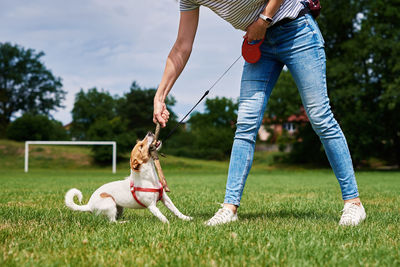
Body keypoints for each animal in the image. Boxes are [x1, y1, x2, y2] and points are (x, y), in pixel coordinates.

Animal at [64, 133, 192, 224]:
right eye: (141, 146)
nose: (150, 132)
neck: (150, 179)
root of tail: (89, 205)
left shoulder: (165, 199)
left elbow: (175, 210)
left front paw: (186, 218)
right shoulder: (151, 206)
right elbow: (161, 215)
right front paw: (168, 223)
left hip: (119, 208)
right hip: (110, 203)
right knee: (112, 222)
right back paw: (124, 222)